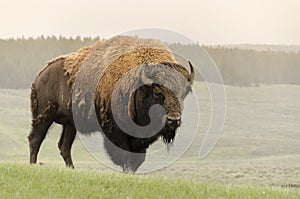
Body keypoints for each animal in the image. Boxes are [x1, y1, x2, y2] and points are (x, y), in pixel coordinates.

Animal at [28, 35, 195, 171]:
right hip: (43, 116)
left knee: (64, 146)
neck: (140, 85)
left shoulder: (139, 140)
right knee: (35, 140)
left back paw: (72, 169)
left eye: (184, 93)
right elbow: (125, 156)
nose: (173, 120)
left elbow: (137, 159)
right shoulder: (116, 131)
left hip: (70, 124)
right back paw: (33, 165)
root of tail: (41, 74)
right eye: (157, 92)